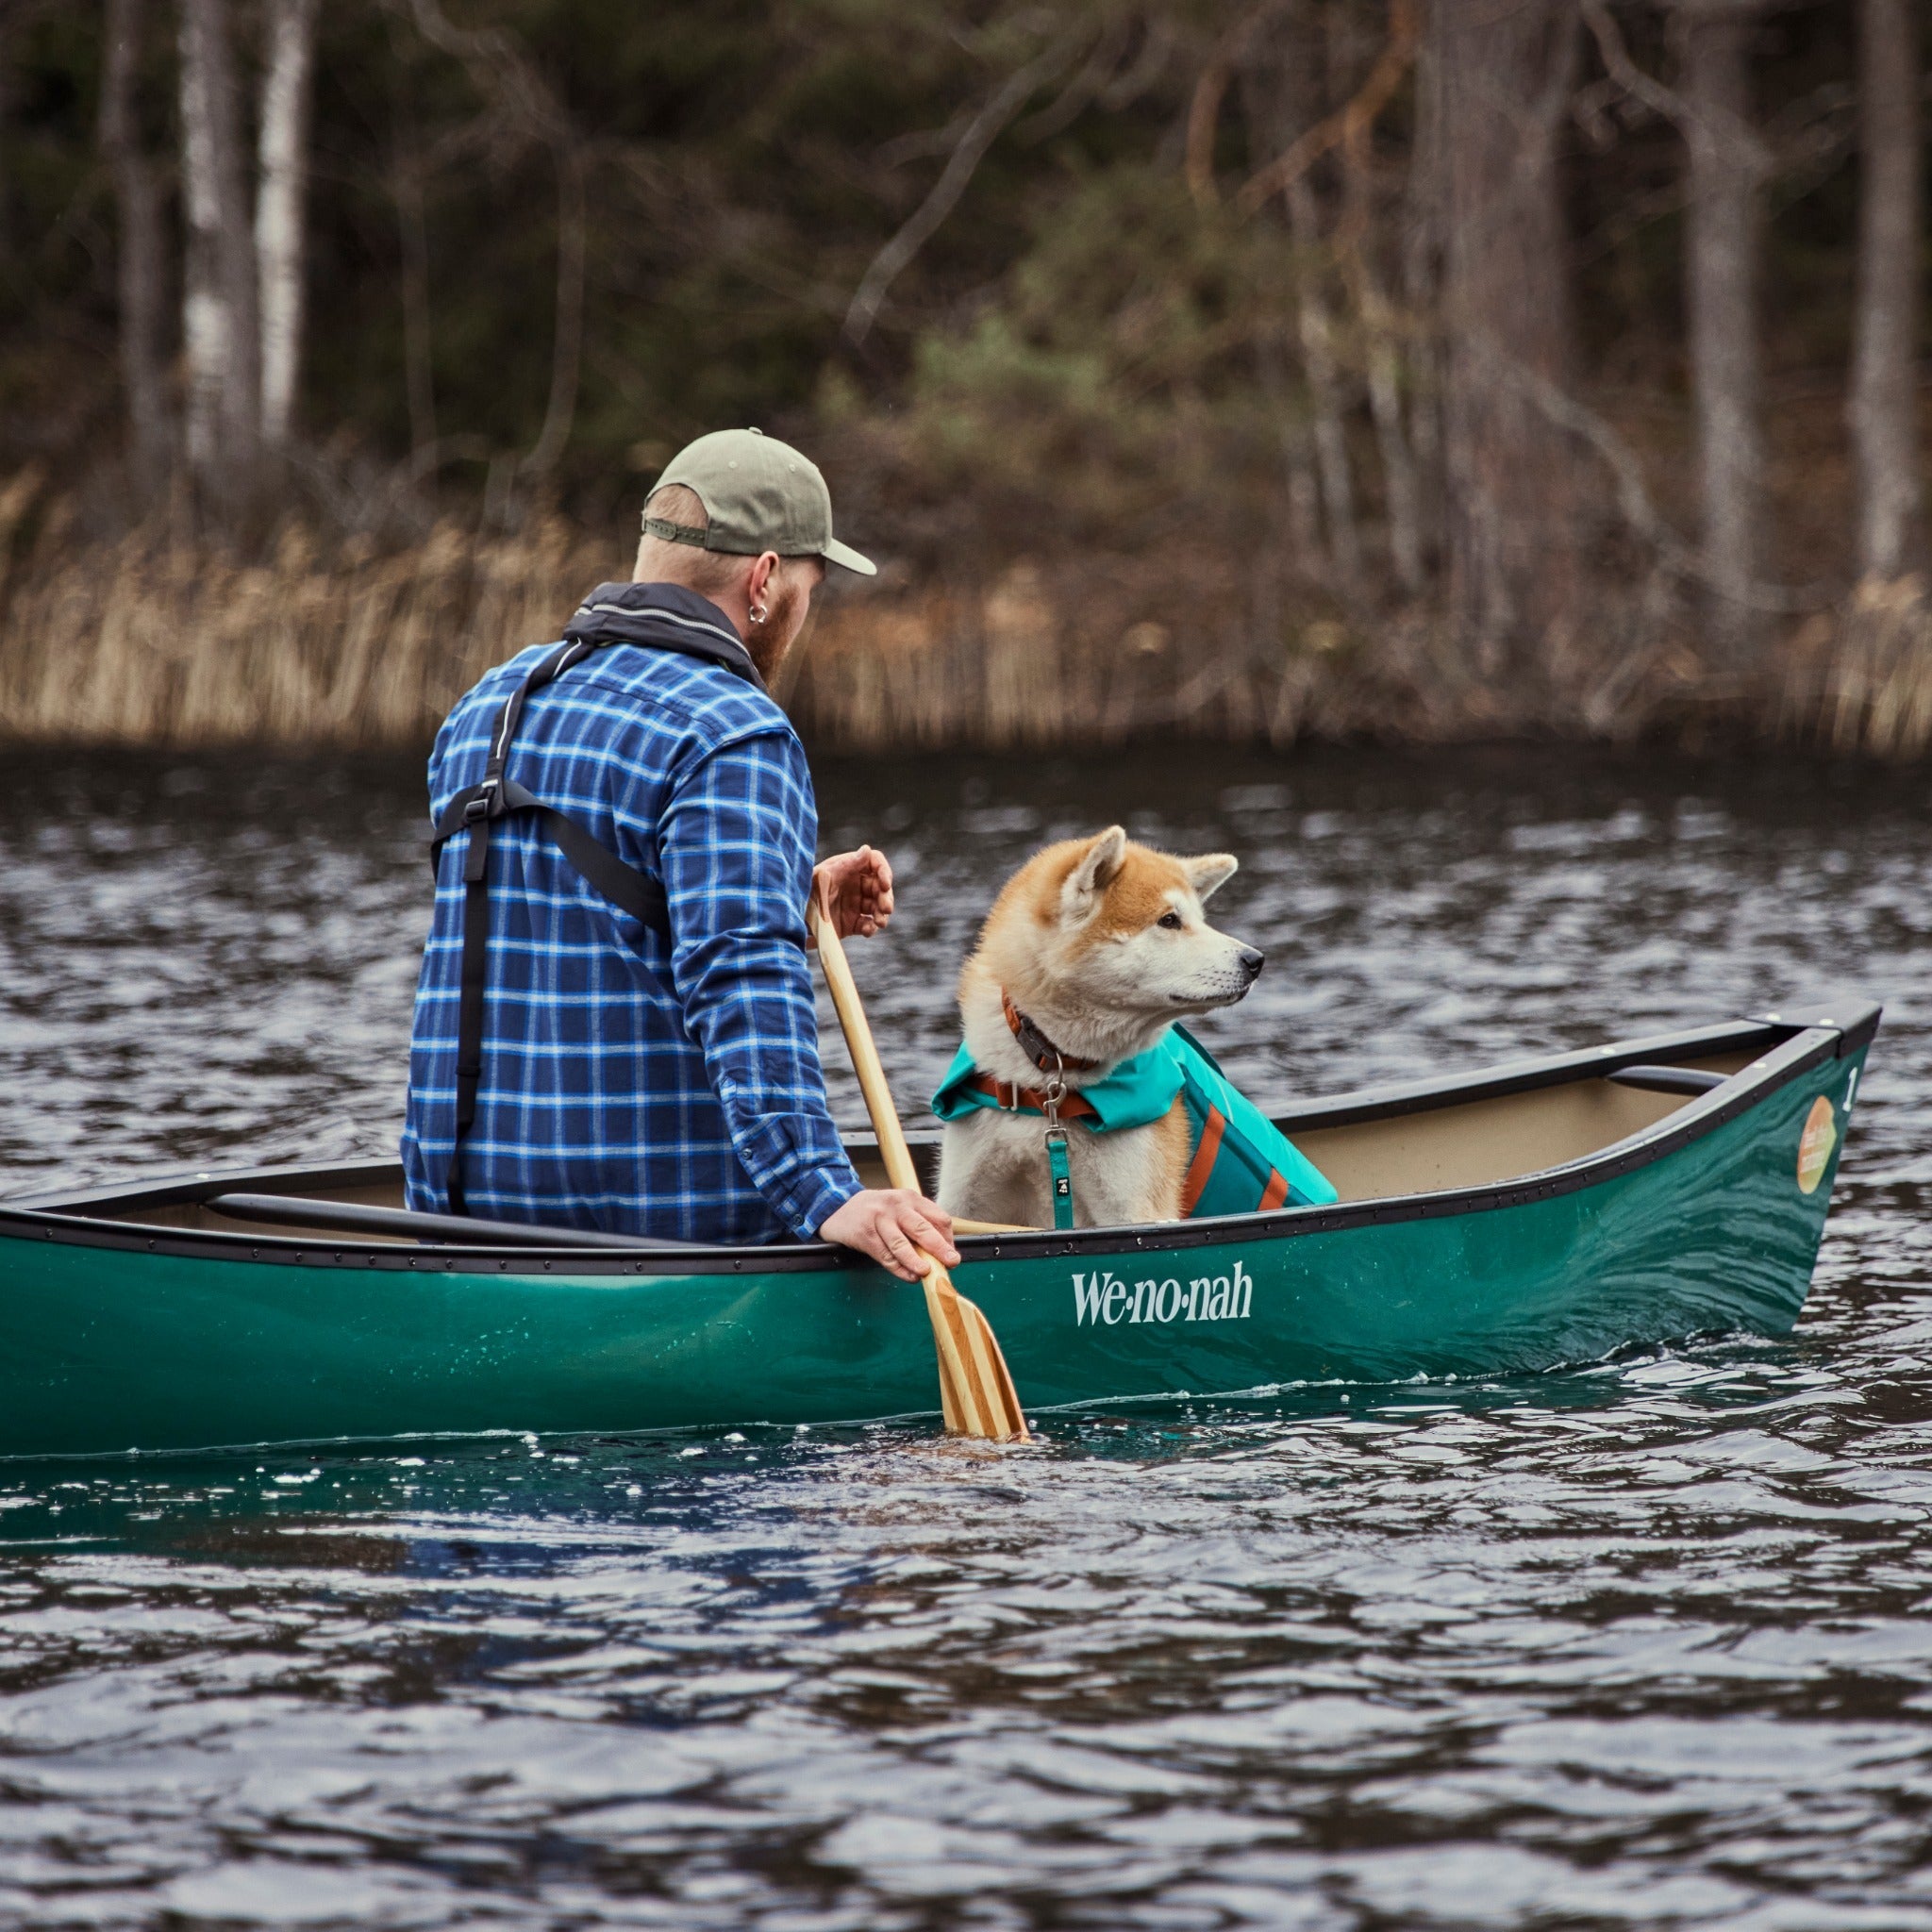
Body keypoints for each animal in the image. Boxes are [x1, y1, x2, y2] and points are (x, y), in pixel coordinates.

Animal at [927, 826, 1337, 1221]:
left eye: (1199, 920)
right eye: (1169, 920)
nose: (1256, 961)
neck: (1048, 1084)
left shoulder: (1134, 1208)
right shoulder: (965, 1198)